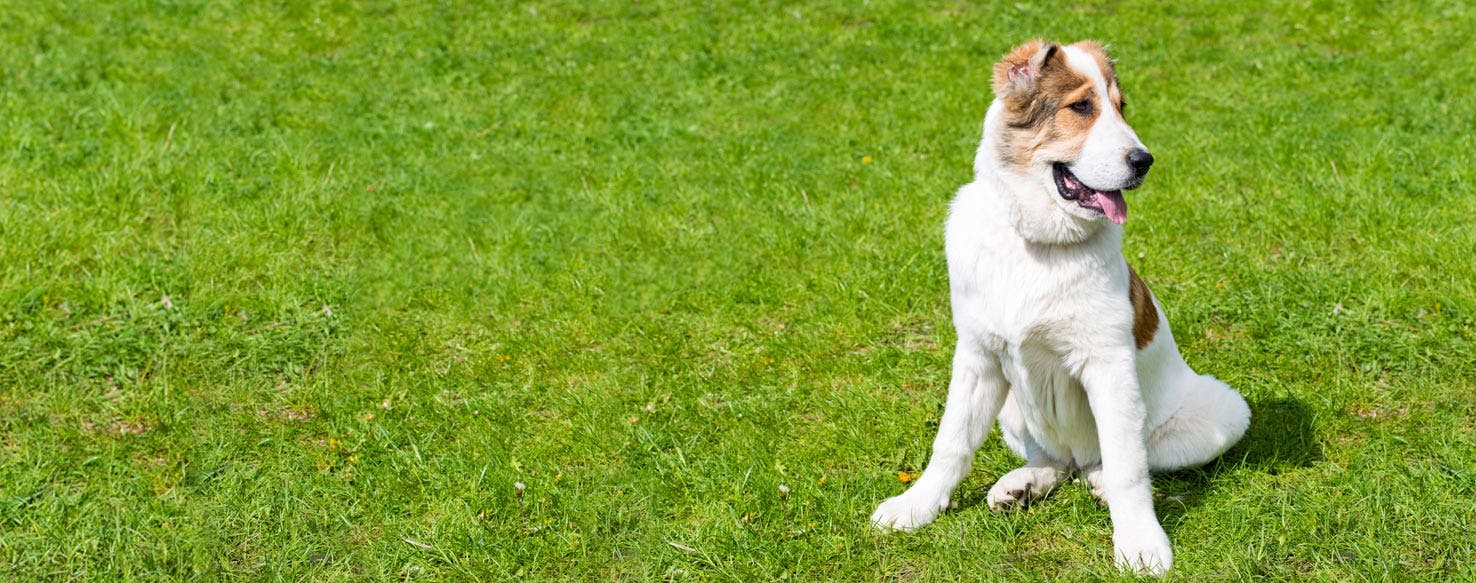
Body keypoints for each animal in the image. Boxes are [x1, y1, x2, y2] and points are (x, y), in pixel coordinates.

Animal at [867, 40, 1251, 575]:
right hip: (1012, 405)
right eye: (1082, 107)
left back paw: (1096, 485)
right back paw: (1022, 485)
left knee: (1117, 460)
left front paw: (1140, 544)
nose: (1144, 160)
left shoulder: (1107, 366)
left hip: (1225, 411)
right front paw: (916, 506)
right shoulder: (978, 359)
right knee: (1058, 461)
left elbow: (1129, 467)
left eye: (1121, 107)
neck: (1036, 246)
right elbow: (952, 441)